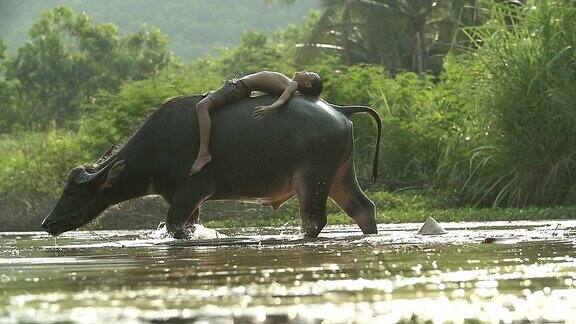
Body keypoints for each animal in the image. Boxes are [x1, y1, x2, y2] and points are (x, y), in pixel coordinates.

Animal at [41, 93, 382, 238]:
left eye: (71, 192)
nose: (46, 223)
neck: (155, 147)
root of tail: (339, 110)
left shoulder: (193, 190)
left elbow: (174, 225)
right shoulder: (188, 199)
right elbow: (188, 226)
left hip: (313, 180)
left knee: (313, 220)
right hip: (339, 177)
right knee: (363, 208)